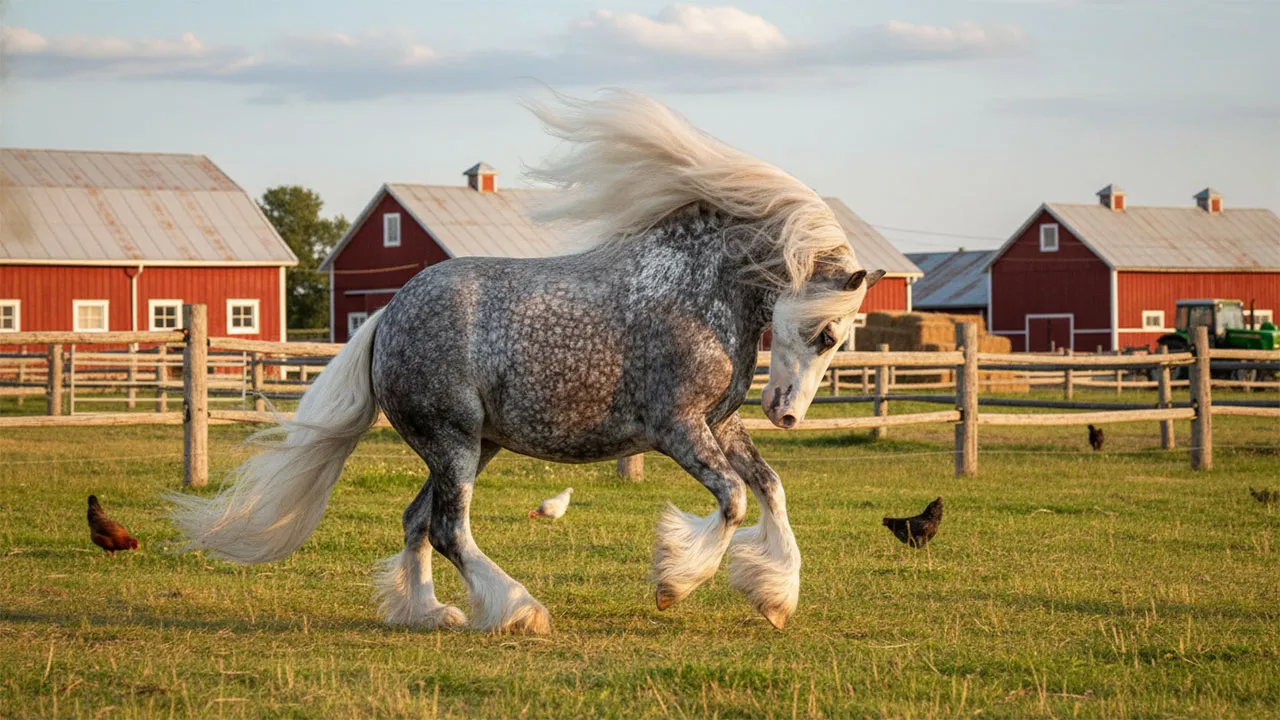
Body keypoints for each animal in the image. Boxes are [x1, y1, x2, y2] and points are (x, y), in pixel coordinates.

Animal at [170, 89, 885, 634]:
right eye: (827, 334)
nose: (787, 414)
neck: (697, 287)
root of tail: (388, 317)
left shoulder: (721, 422)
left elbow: (771, 488)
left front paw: (775, 597)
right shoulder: (678, 427)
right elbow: (735, 500)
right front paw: (674, 583)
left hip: (471, 446)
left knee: (417, 521)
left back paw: (429, 613)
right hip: (453, 442)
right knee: (449, 530)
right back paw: (519, 611)